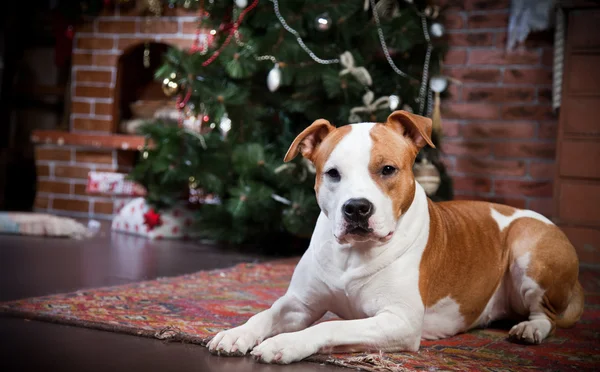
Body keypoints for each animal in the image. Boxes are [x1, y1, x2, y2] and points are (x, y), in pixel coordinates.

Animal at [207, 109, 584, 364]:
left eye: (387, 169)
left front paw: (284, 344)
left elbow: (332, 327)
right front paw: (236, 333)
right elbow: (267, 313)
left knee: (546, 314)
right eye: (332, 173)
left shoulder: (399, 322)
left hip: (528, 249)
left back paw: (530, 330)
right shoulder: (300, 302)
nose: (356, 208)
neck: (353, 254)